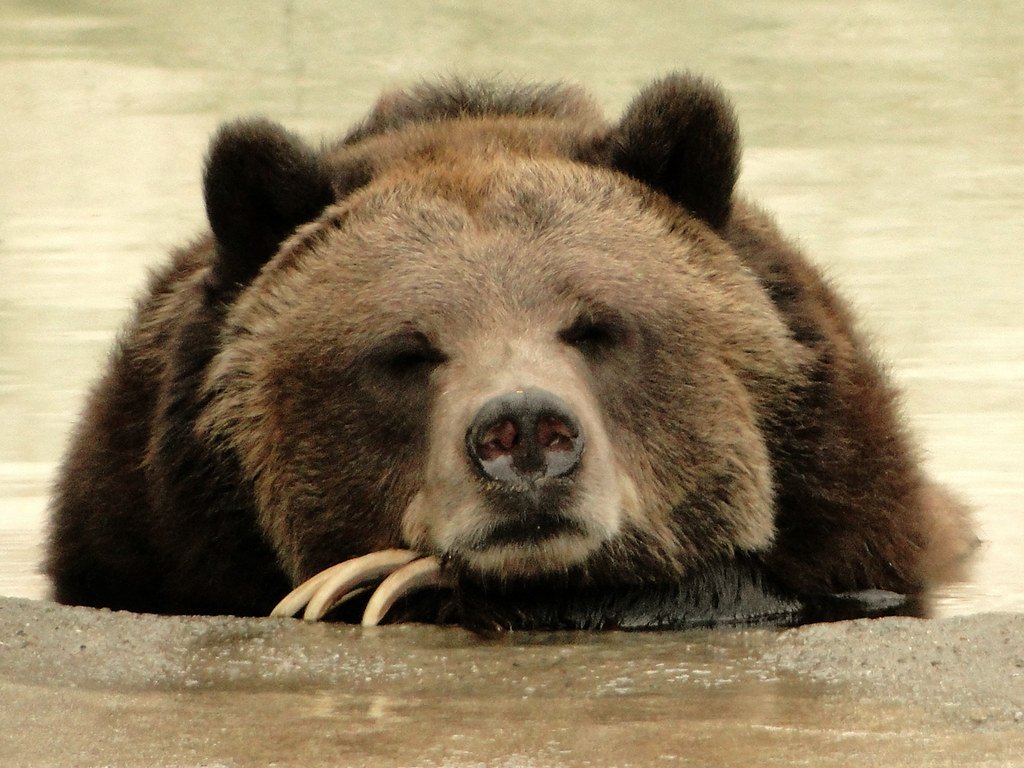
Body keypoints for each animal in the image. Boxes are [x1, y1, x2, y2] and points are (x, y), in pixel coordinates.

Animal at [45, 73, 974, 629]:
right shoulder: (144, 523)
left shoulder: (847, 512)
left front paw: (387, 577)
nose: (525, 432)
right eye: (407, 351)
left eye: (596, 326)